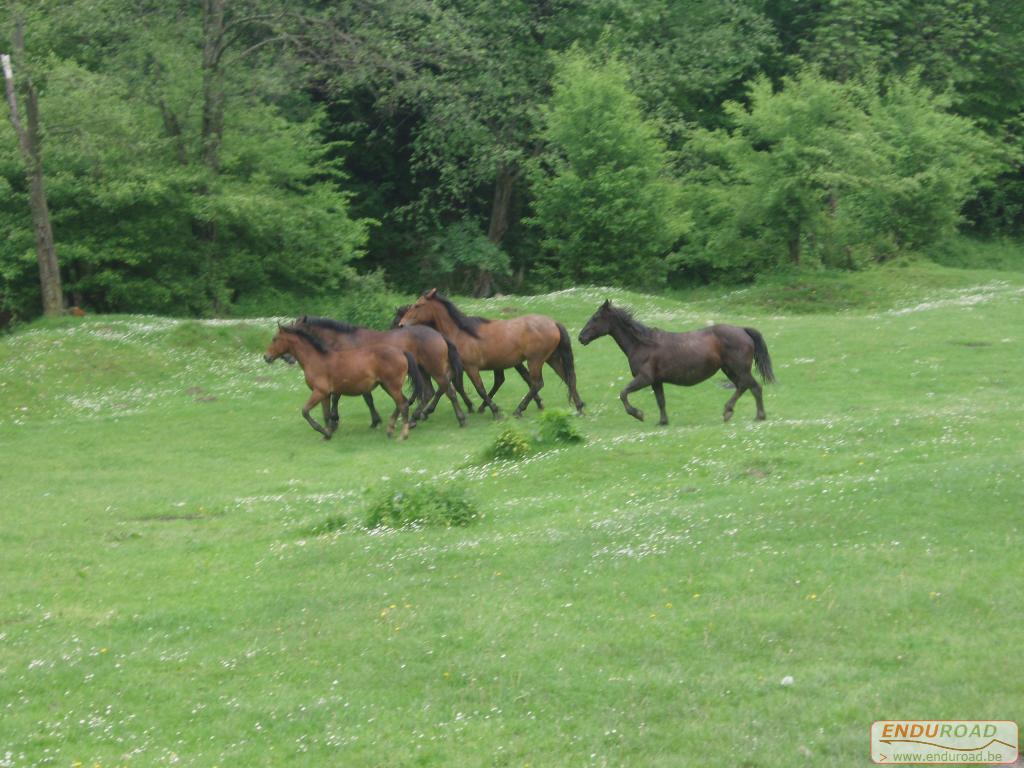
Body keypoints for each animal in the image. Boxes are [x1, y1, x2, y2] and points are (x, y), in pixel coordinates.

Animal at [264, 325, 428, 442]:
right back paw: (390, 429)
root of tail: (401, 352)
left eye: (274, 339)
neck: (316, 359)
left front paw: (323, 431)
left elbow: (305, 411)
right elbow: (326, 414)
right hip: (387, 386)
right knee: (402, 403)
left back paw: (402, 435)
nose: (266, 357)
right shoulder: (325, 395)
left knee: (403, 404)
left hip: (391, 386)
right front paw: (327, 434)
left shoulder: (319, 392)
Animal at [292, 315, 468, 430]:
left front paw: (335, 420)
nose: (288, 358)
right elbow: (364, 399)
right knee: (429, 392)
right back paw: (414, 418)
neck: (345, 341)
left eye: (297, 332)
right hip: (423, 371)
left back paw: (460, 418)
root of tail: (438, 335)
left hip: (435, 370)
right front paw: (374, 420)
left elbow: (342, 397)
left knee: (449, 391)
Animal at [395, 290, 585, 421]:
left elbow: (480, 389)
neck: (460, 333)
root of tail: (553, 323)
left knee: (537, 383)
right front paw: (425, 412)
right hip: (552, 358)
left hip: (535, 360)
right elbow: (445, 387)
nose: (402, 325)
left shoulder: (471, 368)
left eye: (418, 305)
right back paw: (579, 406)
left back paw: (519, 410)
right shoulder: (456, 367)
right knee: (567, 378)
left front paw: (495, 411)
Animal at [577, 303, 774, 428]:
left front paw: (638, 414)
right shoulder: (656, 381)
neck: (643, 344)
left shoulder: (645, 378)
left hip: (738, 369)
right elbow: (660, 401)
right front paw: (663, 422)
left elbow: (623, 393)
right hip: (729, 370)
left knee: (752, 387)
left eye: (596, 318)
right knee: (746, 387)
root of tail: (742, 330)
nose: (581, 337)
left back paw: (747, 414)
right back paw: (741, 413)